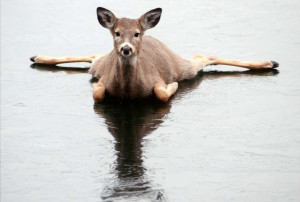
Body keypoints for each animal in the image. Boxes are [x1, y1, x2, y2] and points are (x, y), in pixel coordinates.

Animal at [29, 7, 278, 103]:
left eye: (137, 33)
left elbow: (161, 94)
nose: (126, 48)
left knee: (201, 56)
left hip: (182, 67)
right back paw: (38, 57)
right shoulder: (104, 77)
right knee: (94, 55)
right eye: (117, 33)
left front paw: (172, 87)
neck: (128, 91)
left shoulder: (156, 79)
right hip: (100, 64)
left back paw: (269, 62)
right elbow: (98, 94)